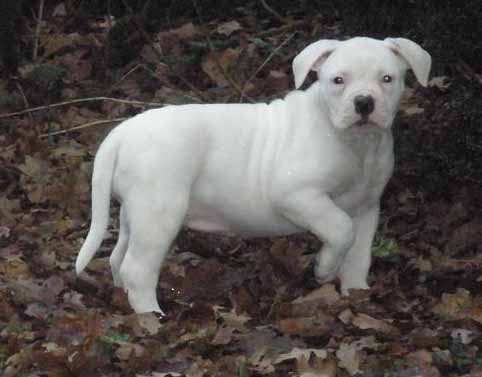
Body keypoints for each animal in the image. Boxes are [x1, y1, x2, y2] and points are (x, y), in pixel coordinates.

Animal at [76, 36, 434, 312]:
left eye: (387, 79)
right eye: (338, 80)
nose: (364, 103)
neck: (355, 144)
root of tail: (122, 132)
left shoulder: (367, 207)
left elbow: (359, 253)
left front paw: (356, 294)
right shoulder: (297, 195)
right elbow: (340, 229)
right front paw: (324, 267)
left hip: (135, 210)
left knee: (118, 257)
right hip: (159, 211)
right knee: (138, 268)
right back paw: (151, 317)